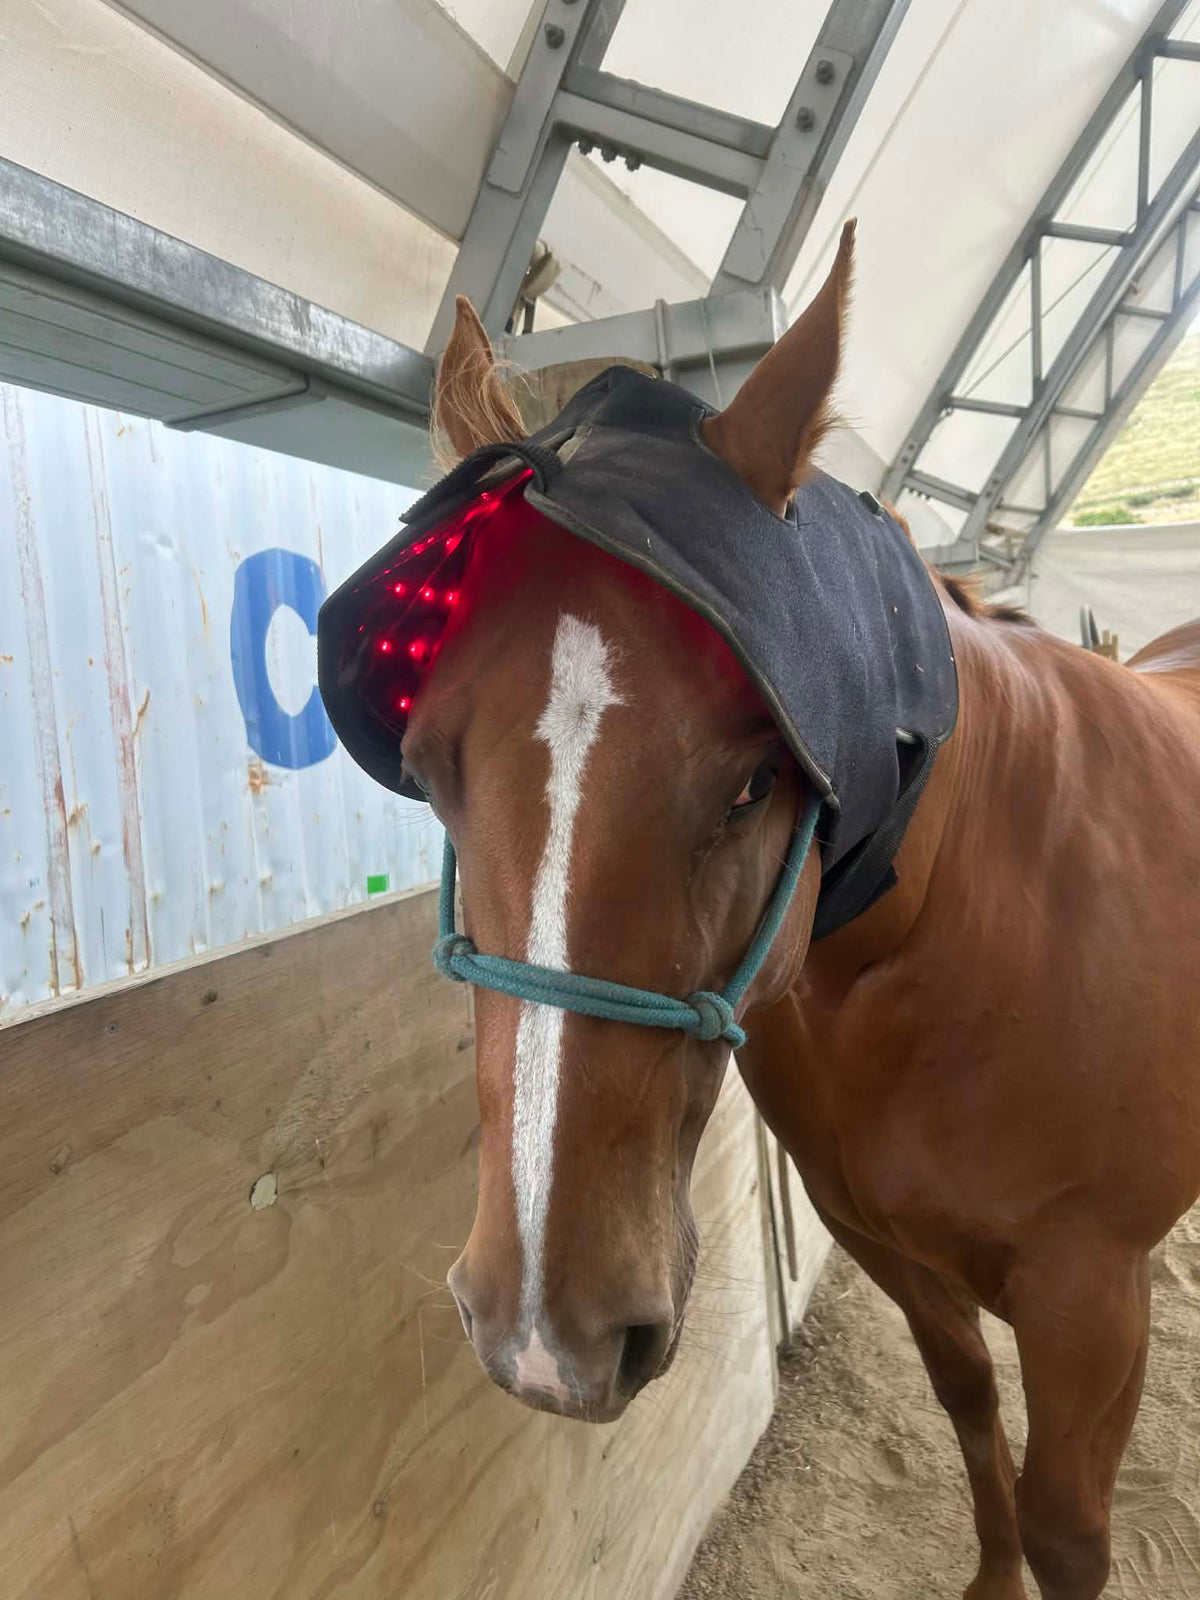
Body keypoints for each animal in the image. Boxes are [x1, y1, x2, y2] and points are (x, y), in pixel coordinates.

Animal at [386, 229, 1200, 1600]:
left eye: (753, 779)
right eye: (429, 763)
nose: (542, 1333)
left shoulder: (1091, 1302)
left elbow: (1068, 1532)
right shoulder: (881, 1238)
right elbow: (967, 1401)